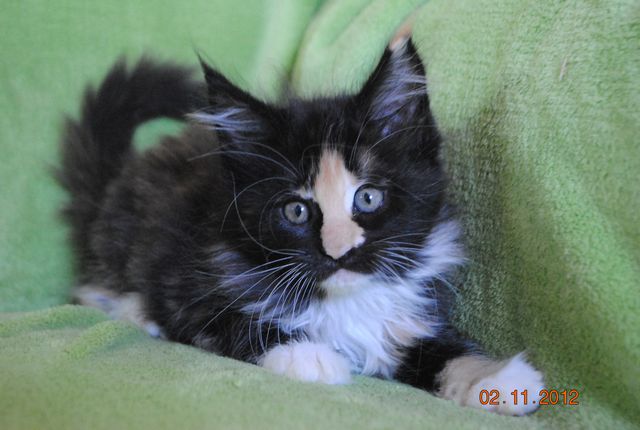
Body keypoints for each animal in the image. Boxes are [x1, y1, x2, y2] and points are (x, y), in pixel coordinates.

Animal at [58, 39, 544, 415]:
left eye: (368, 197)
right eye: (295, 211)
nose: (338, 251)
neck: (343, 303)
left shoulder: (406, 317)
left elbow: (438, 349)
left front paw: (495, 377)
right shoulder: (192, 280)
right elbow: (236, 323)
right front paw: (306, 354)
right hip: (127, 239)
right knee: (91, 287)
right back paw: (136, 313)